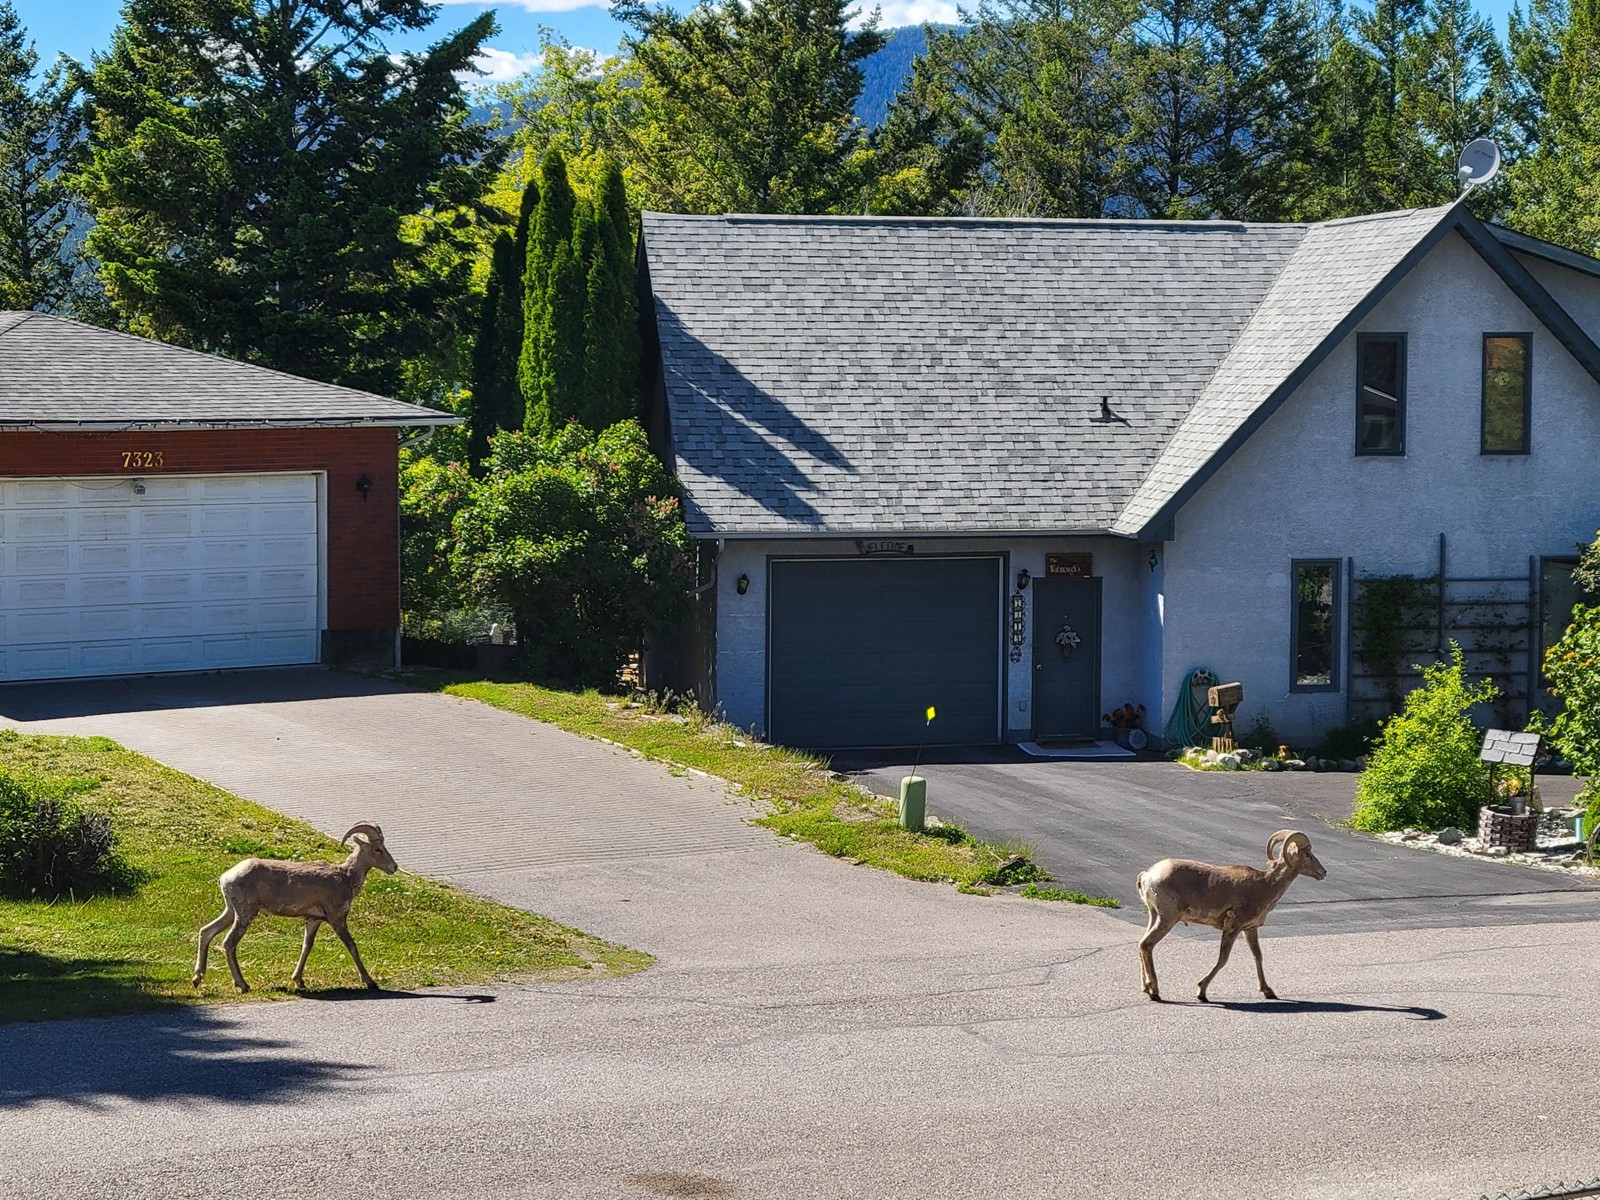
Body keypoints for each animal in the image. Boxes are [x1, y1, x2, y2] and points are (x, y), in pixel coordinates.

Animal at [192, 819, 396, 998]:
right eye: (377, 849)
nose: (393, 867)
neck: (346, 877)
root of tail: (226, 877)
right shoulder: (337, 918)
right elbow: (352, 945)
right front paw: (370, 982)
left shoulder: (313, 920)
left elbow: (307, 946)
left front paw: (299, 981)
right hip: (244, 915)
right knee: (228, 943)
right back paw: (243, 985)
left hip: (230, 912)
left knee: (206, 931)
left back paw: (197, 979)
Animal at [1132, 825, 1331, 1004]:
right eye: (1308, 855)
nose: (1323, 872)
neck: (1265, 885)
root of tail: (1147, 876)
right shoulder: (1233, 928)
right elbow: (1223, 959)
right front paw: (1201, 992)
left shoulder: (1249, 929)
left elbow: (1258, 955)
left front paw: (1268, 991)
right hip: (1168, 918)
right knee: (1147, 944)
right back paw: (1155, 992)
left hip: (1154, 915)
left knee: (1142, 945)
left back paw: (1146, 989)